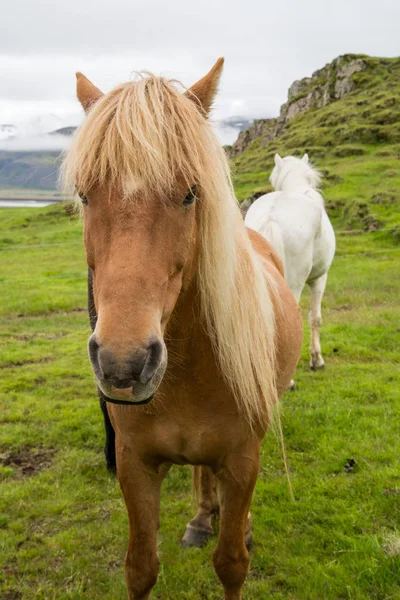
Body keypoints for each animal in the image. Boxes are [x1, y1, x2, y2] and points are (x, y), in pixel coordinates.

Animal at [62, 59, 302, 600]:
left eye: (191, 194)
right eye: (85, 195)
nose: (124, 363)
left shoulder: (242, 461)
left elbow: (232, 562)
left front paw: (236, 533)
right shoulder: (135, 465)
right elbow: (140, 567)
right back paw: (201, 517)